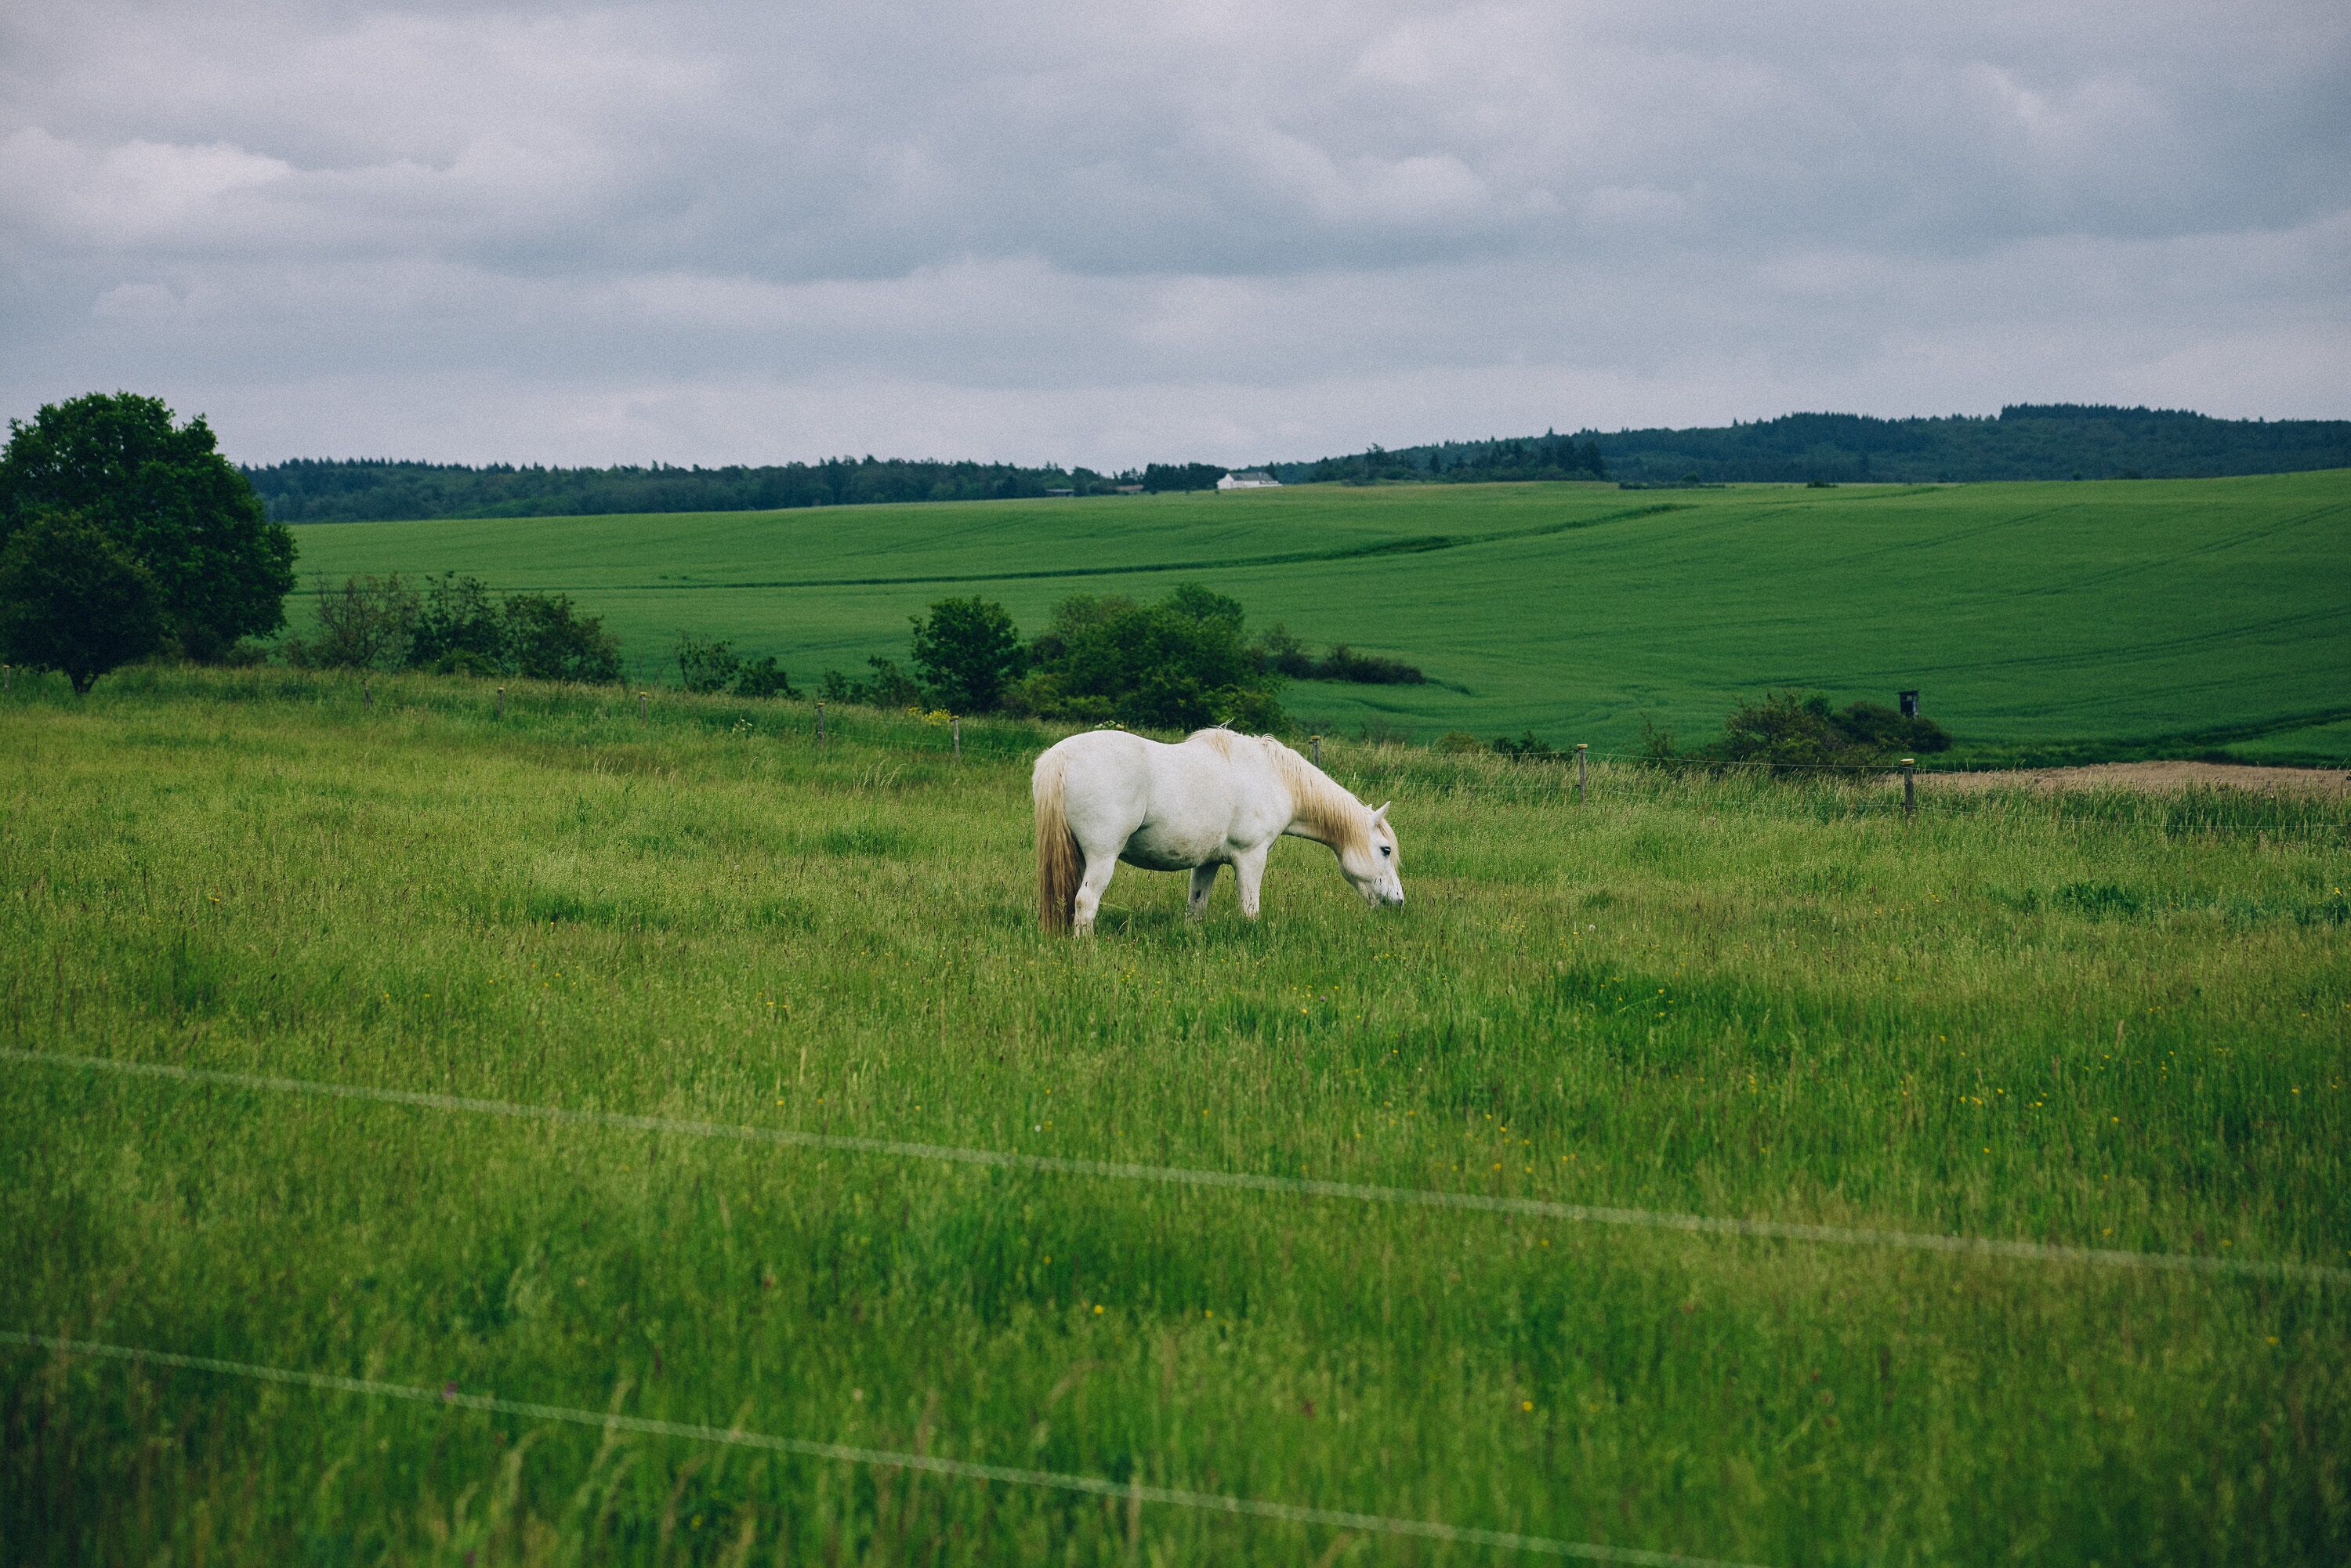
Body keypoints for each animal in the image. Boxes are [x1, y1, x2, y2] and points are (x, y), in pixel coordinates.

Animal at [1032, 728, 1404, 934]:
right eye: (1385, 850)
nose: (1398, 901)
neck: (1273, 777)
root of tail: (1061, 757)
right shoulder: (1252, 858)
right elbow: (1250, 910)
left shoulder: (1206, 863)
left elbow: (1196, 908)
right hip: (1101, 857)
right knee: (1085, 902)